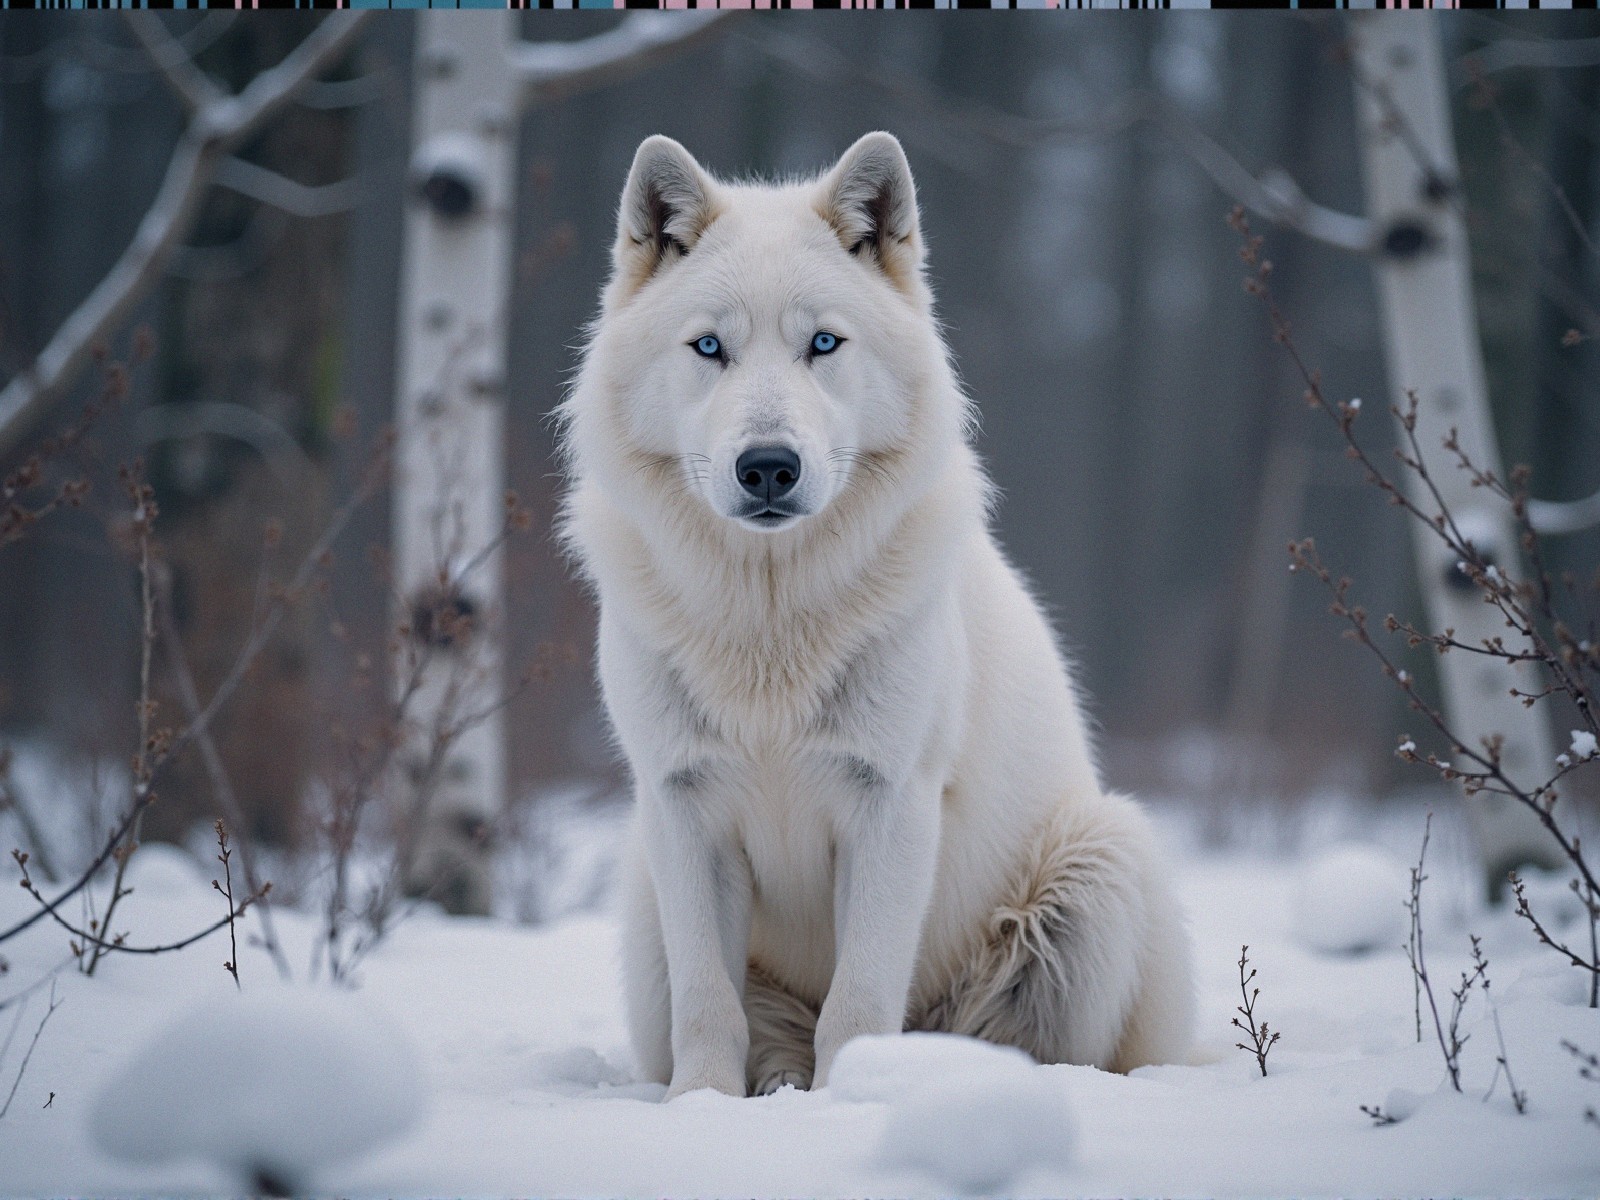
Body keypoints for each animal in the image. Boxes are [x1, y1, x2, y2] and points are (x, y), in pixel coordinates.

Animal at [558, 132, 1193, 1098]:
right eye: (709, 347)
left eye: (823, 343)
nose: (768, 466)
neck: (770, 620)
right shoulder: (681, 809)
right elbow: (710, 1006)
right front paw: (700, 1105)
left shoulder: (891, 805)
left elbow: (858, 1003)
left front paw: (854, 1096)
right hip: (643, 903)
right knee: (757, 1029)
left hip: (1098, 866)